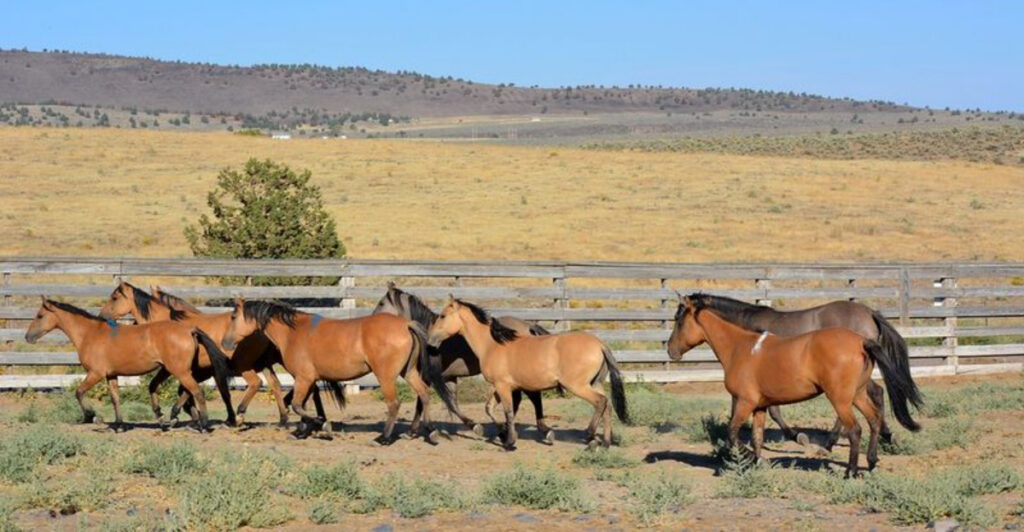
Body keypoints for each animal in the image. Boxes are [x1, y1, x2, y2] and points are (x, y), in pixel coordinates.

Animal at [25, 297, 233, 432]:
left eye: (40, 315)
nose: (28, 337)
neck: (90, 334)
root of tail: (189, 330)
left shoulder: (96, 373)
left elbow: (79, 392)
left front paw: (93, 417)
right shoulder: (111, 375)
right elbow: (115, 398)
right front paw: (118, 425)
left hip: (179, 370)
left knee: (196, 391)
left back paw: (202, 425)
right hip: (172, 370)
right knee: (184, 391)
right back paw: (170, 418)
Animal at [221, 298, 453, 443]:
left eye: (233, 317)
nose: (225, 343)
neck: (293, 333)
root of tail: (406, 324)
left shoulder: (303, 378)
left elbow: (297, 405)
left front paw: (322, 425)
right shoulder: (308, 379)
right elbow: (303, 405)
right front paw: (301, 432)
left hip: (385, 376)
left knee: (394, 403)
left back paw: (384, 438)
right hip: (409, 371)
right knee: (424, 394)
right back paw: (425, 432)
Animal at [373, 282, 554, 441]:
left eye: (381, 302)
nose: (372, 319)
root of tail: (528, 326)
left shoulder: (428, 376)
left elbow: (422, 402)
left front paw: (413, 432)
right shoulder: (449, 377)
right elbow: (452, 403)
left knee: (532, 397)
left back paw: (541, 431)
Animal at [426, 296, 628, 450]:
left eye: (442, 316)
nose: (430, 341)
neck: (492, 345)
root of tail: (600, 344)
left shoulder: (502, 385)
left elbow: (508, 411)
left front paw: (509, 442)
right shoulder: (505, 386)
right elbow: (490, 408)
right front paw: (502, 433)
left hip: (578, 385)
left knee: (600, 402)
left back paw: (589, 435)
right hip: (595, 383)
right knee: (608, 406)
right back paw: (604, 444)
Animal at [667, 293, 922, 477]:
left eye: (678, 321)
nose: (670, 350)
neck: (742, 344)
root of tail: (862, 339)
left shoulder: (746, 400)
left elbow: (734, 431)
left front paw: (748, 457)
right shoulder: (759, 404)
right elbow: (757, 436)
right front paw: (755, 462)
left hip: (839, 397)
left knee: (856, 428)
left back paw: (847, 467)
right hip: (856, 394)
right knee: (874, 416)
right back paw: (873, 460)